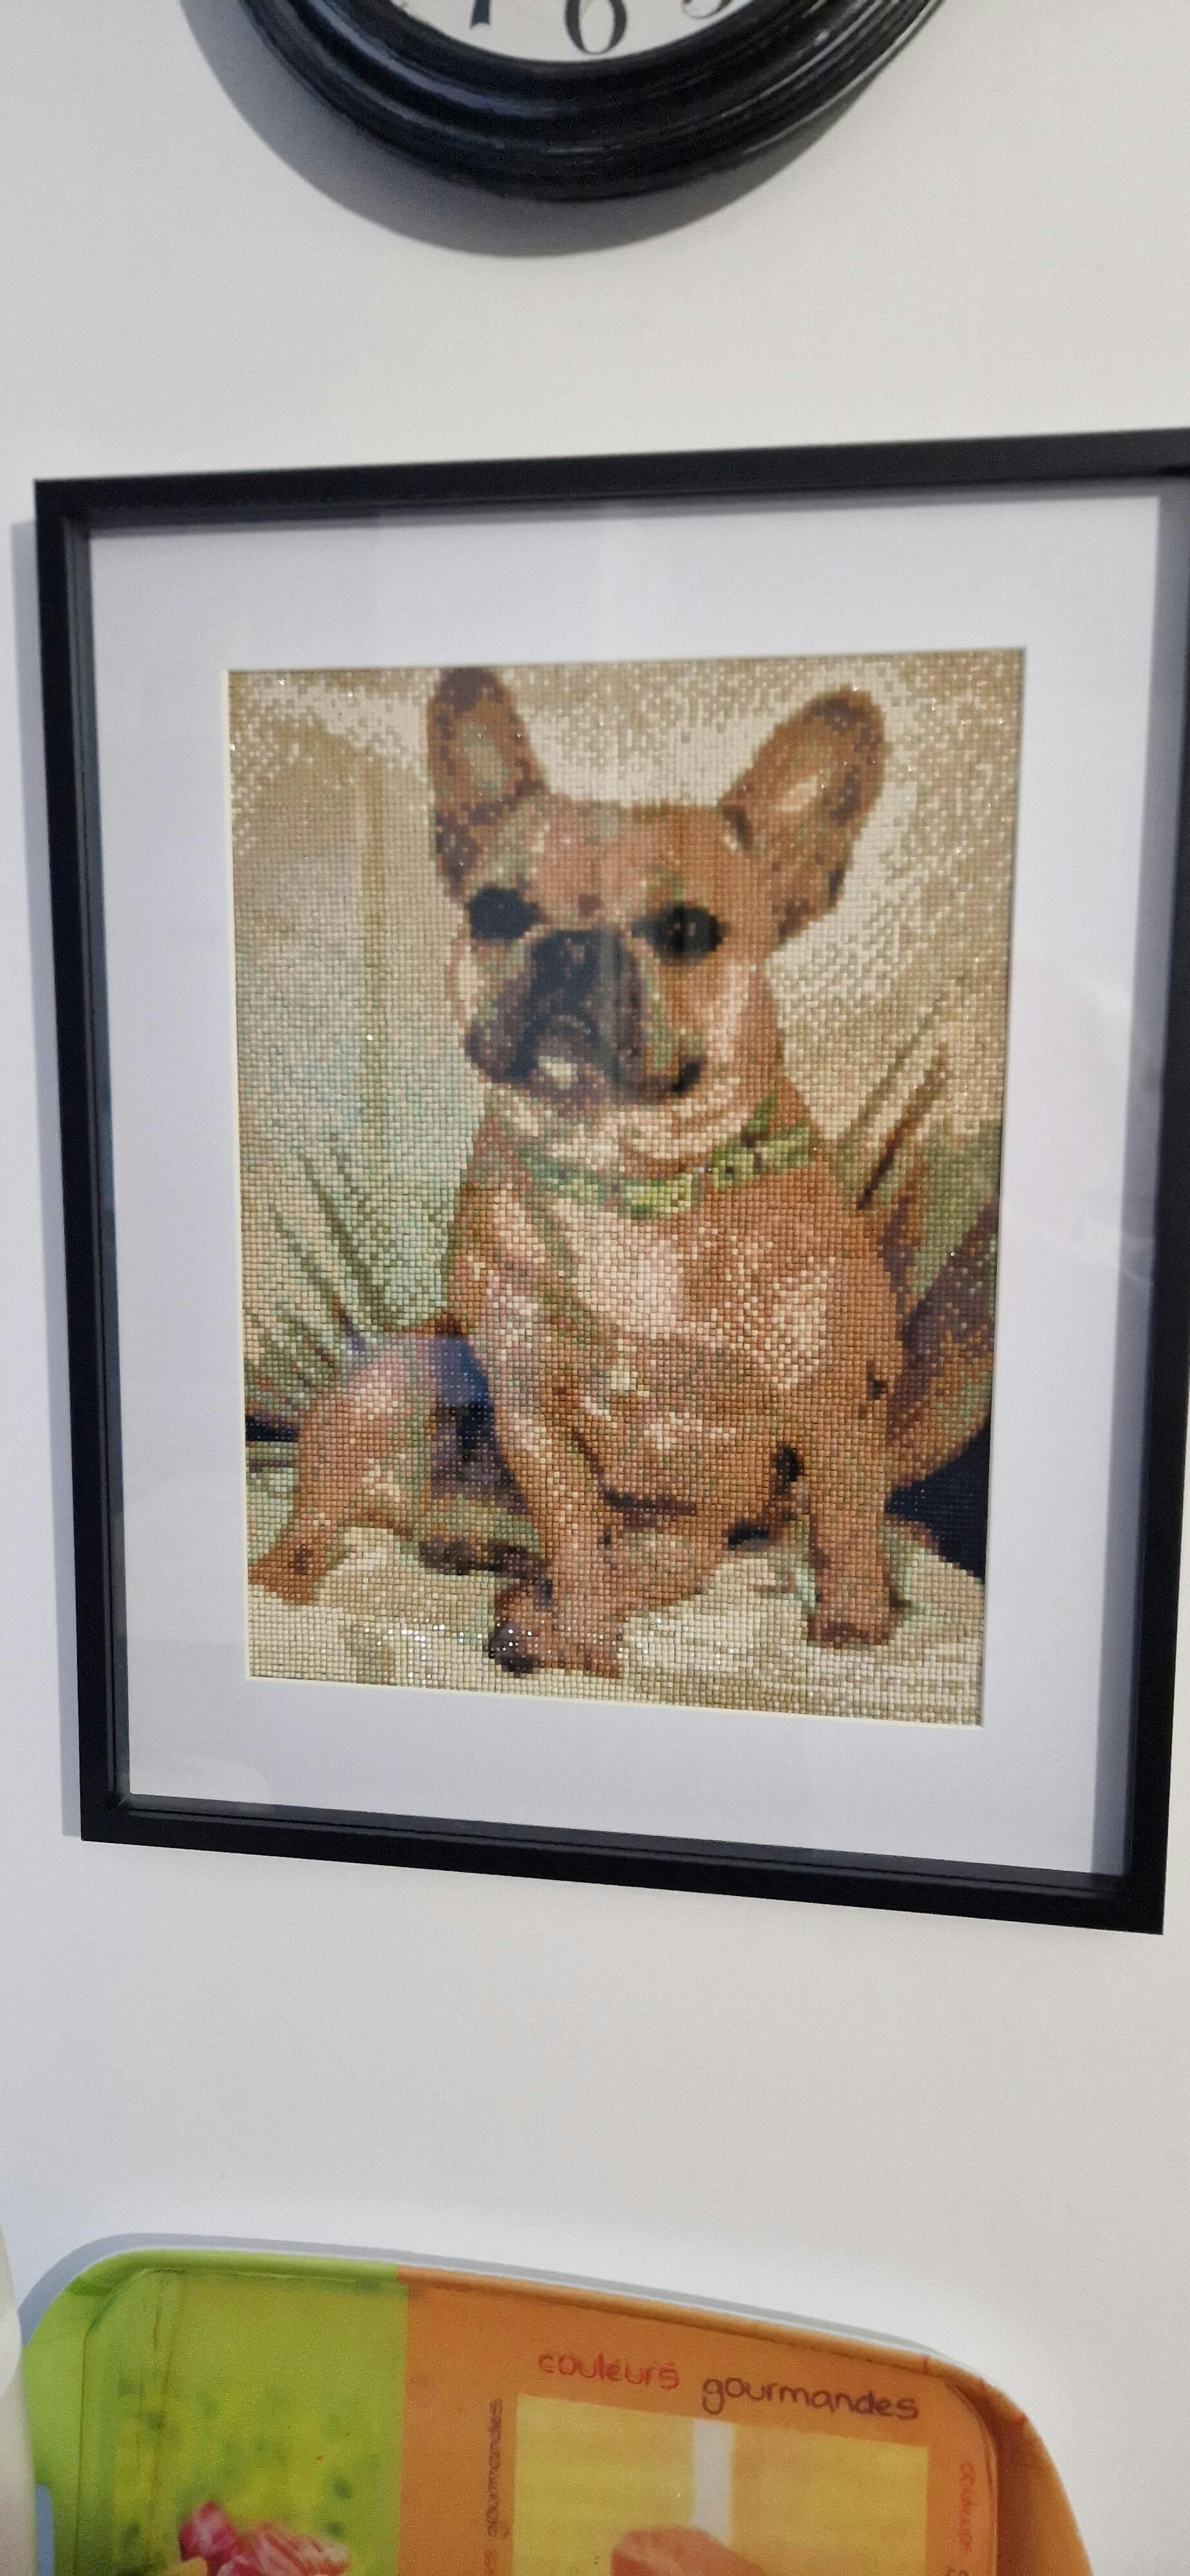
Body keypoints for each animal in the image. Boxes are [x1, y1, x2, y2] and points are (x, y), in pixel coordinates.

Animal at [251, 665, 917, 1678]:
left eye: (686, 929)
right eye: (493, 911)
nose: (573, 946)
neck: (623, 1178)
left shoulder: (833, 1400)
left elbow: (843, 1520)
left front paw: (850, 1625)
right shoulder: (532, 1410)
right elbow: (572, 1531)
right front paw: (592, 1650)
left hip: (684, 1537)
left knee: (631, 1559)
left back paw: (521, 1606)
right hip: (392, 1383)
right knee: (319, 1523)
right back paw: (297, 1588)